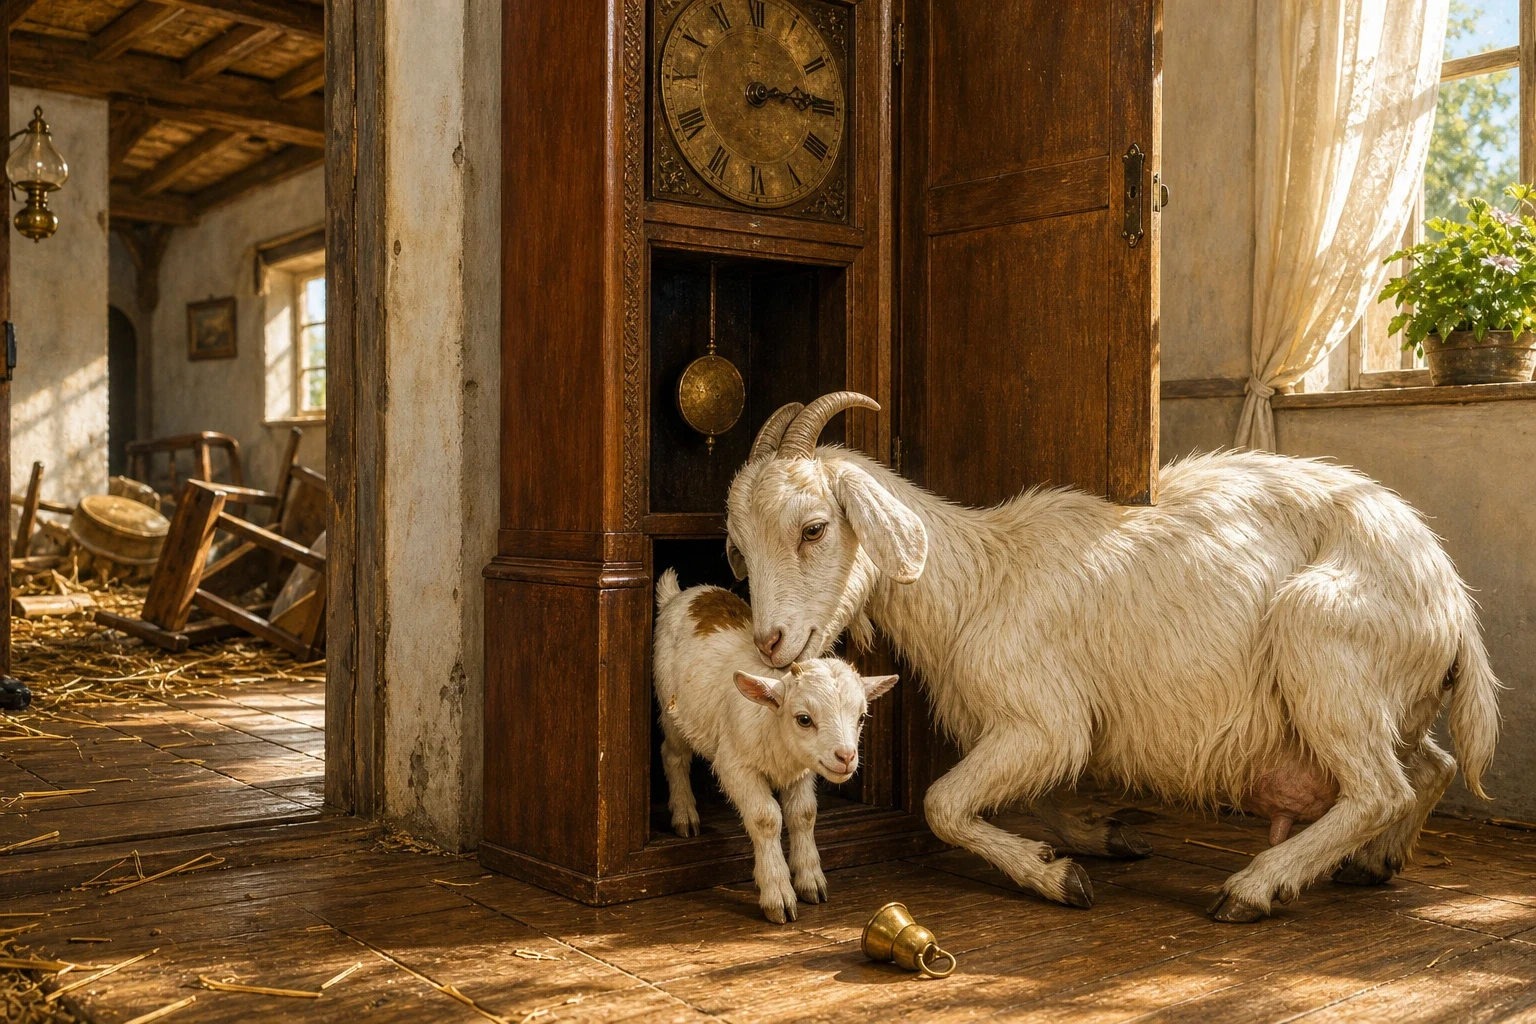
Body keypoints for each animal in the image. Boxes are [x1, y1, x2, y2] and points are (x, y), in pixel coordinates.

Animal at [653, 568, 899, 923]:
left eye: (862, 716)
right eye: (804, 719)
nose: (846, 757)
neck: (775, 733)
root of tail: (684, 594)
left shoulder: (803, 770)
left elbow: (803, 814)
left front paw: (811, 880)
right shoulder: (735, 766)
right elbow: (766, 818)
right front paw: (778, 893)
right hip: (672, 710)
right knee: (673, 755)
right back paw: (685, 814)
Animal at [723, 393, 1501, 922]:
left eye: (814, 528)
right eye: (738, 546)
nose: (770, 643)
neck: (980, 580)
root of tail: (1452, 601)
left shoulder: (1043, 720)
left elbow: (942, 804)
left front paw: (1057, 877)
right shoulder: (1043, 729)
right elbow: (1038, 796)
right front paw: (1099, 837)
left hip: (1322, 647)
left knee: (1381, 787)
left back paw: (1255, 887)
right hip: (1386, 696)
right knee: (1433, 764)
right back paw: (1375, 862)